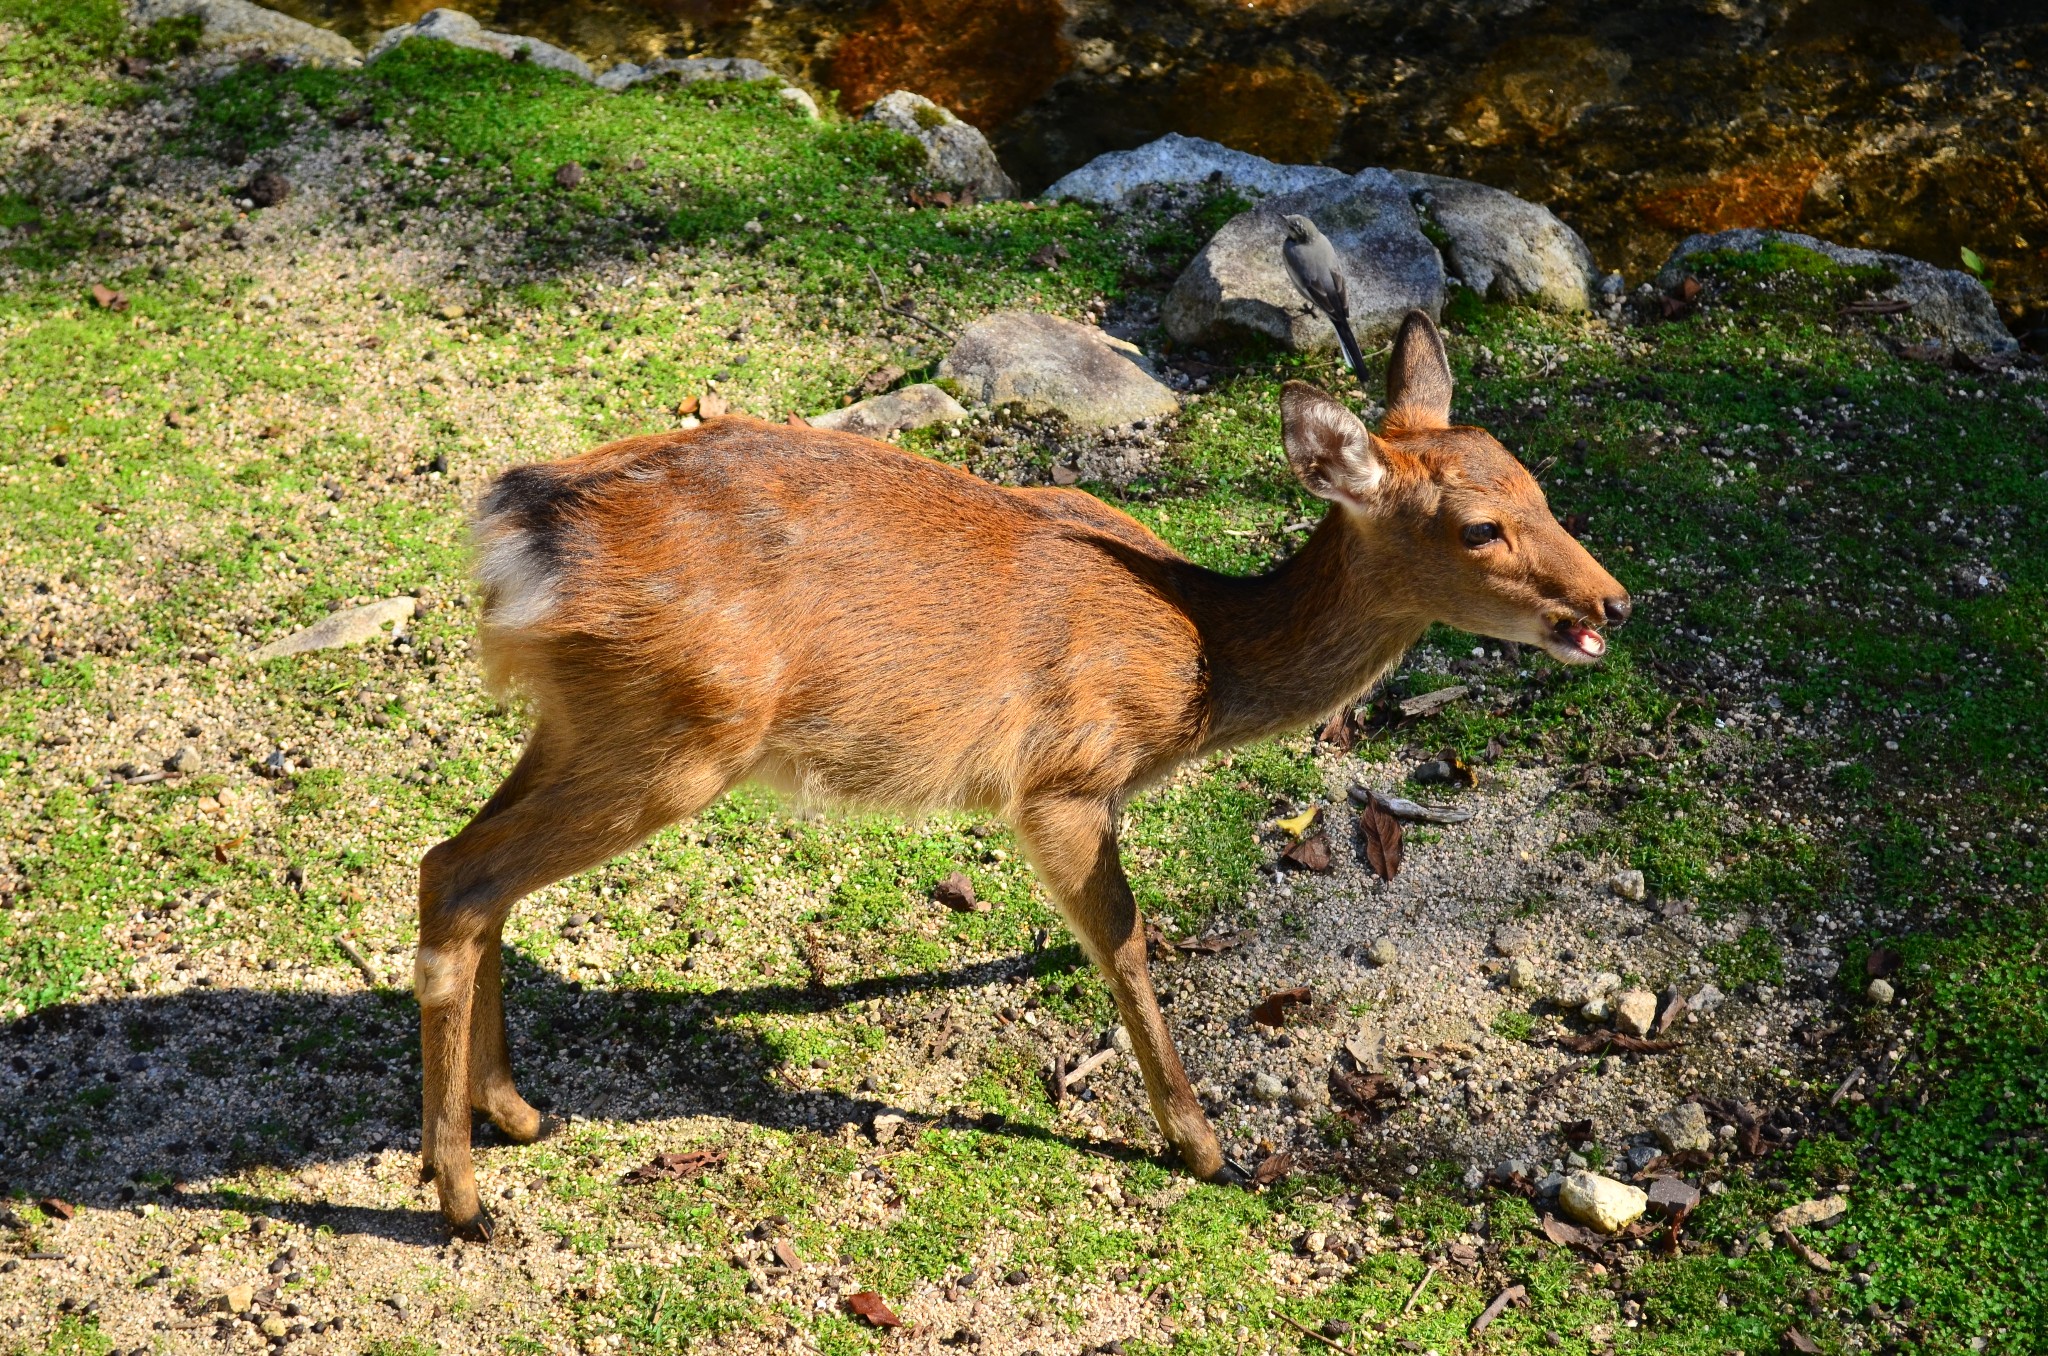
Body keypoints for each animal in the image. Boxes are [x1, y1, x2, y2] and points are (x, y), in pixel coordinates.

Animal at [415, 311, 1630, 1245]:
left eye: (1537, 486)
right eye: (1479, 527)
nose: (1609, 602)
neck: (1198, 660)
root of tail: (518, 538)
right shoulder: (1062, 777)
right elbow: (1125, 938)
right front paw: (1202, 1146)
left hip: (585, 721)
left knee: (462, 867)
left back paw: (514, 1114)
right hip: (678, 733)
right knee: (463, 877)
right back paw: (464, 1201)